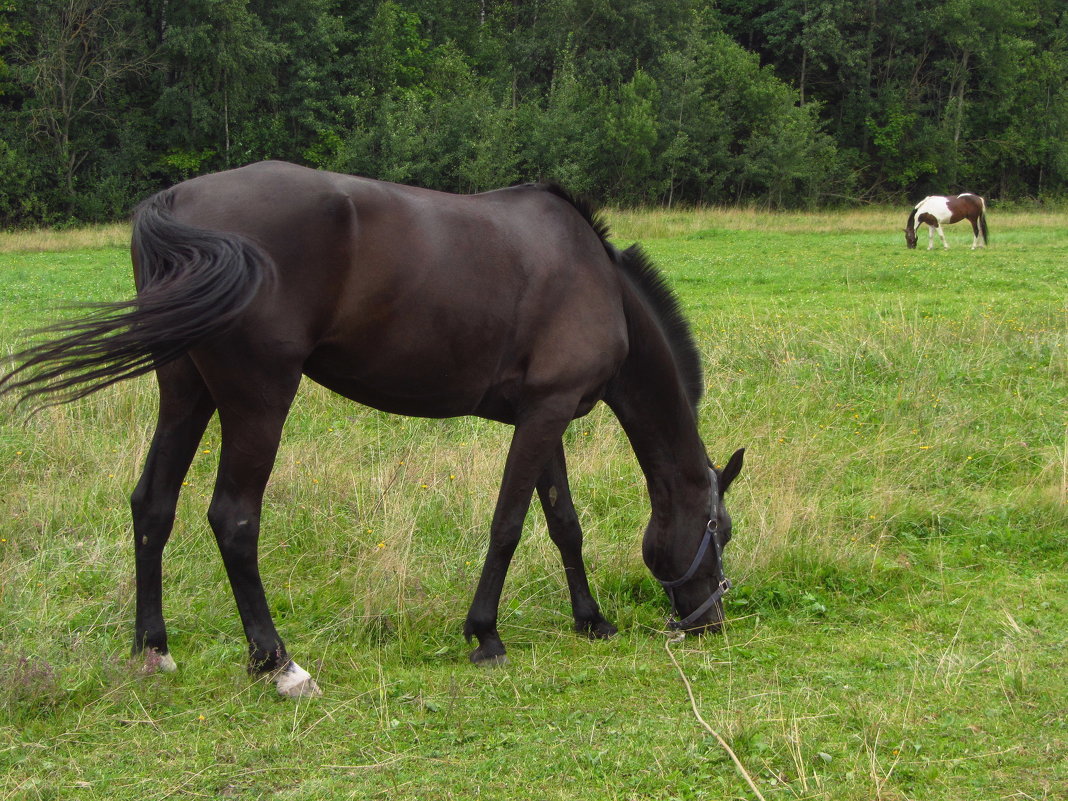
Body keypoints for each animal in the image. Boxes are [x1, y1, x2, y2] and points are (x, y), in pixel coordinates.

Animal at [2, 161, 743, 696]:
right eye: (721, 528)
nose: (707, 621)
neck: (597, 280)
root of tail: (178, 202)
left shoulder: (543, 414)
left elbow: (563, 522)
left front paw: (590, 620)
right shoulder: (544, 414)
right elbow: (508, 524)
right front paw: (486, 634)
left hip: (186, 392)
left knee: (152, 504)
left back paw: (152, 649)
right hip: (258, 400)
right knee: (233, 518)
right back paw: (278, 663)